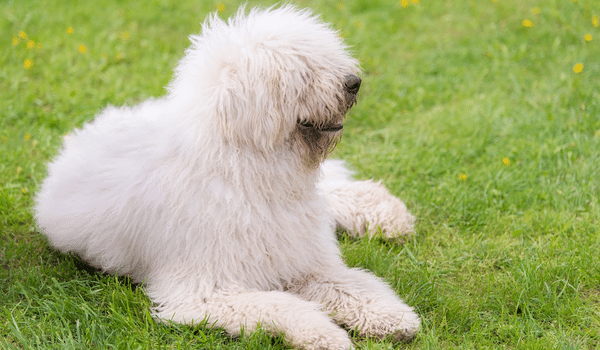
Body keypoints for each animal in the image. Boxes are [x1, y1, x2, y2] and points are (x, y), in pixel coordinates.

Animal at [36, 6, 422, 350]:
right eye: (303, 70)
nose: (354, 83)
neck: (248, 171)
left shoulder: (304, 263)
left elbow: (355, 284)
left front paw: (391, 316)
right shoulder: (205, 292)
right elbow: (282, 305)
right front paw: (323, 335)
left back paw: (390, 217)